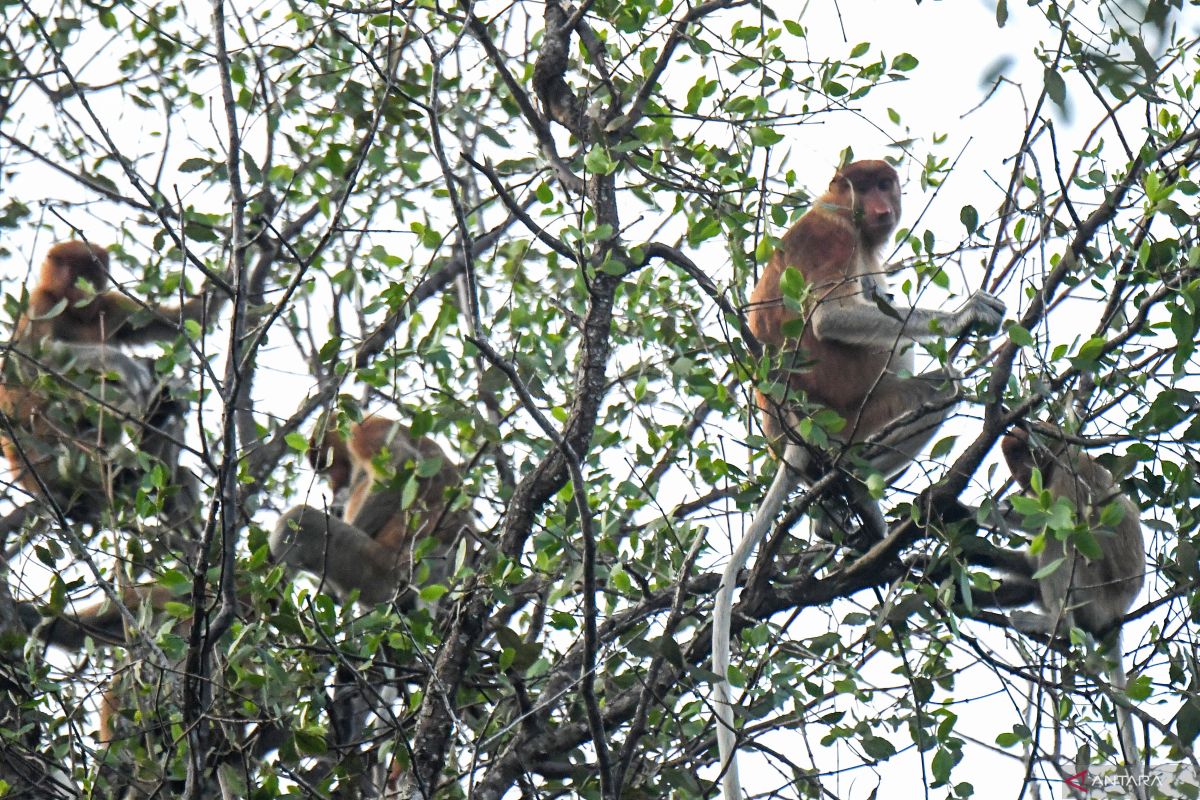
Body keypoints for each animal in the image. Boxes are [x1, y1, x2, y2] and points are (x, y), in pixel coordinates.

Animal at [270, 417, 475, 604]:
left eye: (325, 464)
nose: (333, 484)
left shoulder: (367, 430)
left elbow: (402, 463)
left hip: (382, 570)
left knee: (298, 520)